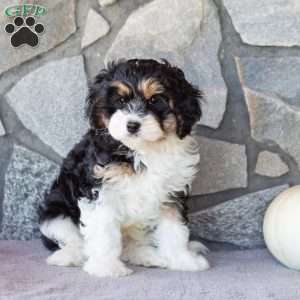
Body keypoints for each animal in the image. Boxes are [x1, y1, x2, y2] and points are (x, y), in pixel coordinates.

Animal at [38, 59, 210, 278]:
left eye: (155, 100)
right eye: (120, 101)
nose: (132, 125)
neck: (142, 149)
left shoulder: (172, 191)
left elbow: (175, 228)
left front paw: (182, 259)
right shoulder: (99, 188)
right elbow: (103, 231)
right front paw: (106, 267)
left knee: (130, 245)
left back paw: (149, 255)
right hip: (55, 214)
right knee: (72, 239)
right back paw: (68, 256)